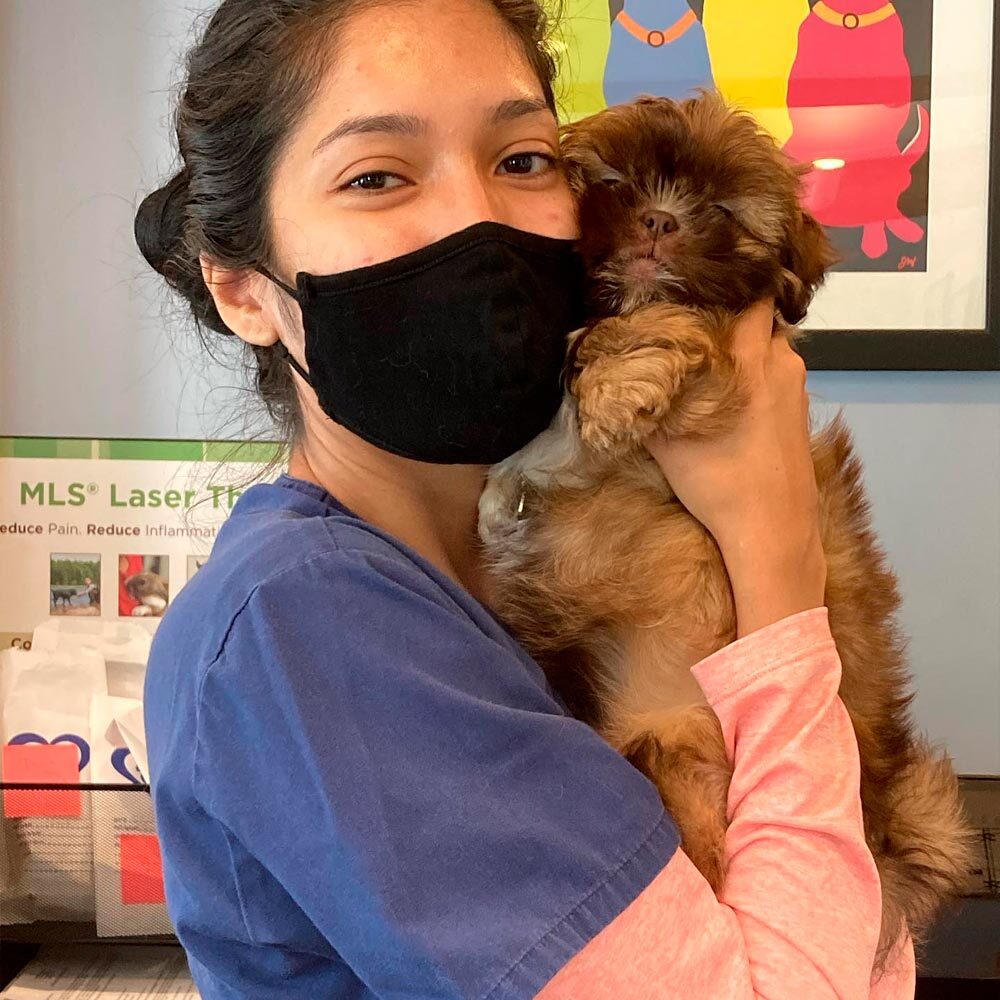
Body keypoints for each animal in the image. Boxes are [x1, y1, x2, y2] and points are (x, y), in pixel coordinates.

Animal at [480, 94, 972, 976]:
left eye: (720, 210)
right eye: (616, 181)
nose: (660, 218)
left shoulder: (715, 373)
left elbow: (663, 328)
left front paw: (609, 382)